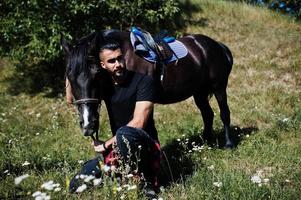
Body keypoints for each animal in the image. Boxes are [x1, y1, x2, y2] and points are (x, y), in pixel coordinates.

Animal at [61, 29, 234, 148]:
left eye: (96, 73)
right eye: (69, 75)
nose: (87, 124)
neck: (125, 60)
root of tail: (218, 45)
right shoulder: (111, 102)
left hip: (219, 87)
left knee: (224, 113)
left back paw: (228, 143)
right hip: (199, 92)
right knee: (207, 114)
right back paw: (206, 142)